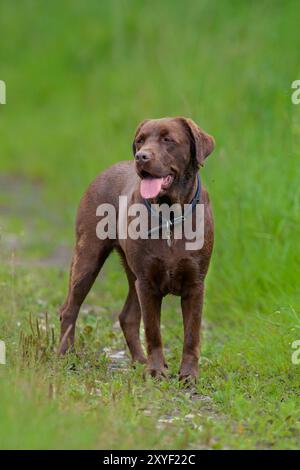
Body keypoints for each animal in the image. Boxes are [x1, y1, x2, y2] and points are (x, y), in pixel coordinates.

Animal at [58, 117, 214, 382]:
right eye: (140, 140)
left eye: (168, 139)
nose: (141, 156)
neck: (170, 215)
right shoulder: (147, 283)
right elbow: (153, 331)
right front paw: (156, 370)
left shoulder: (195, 284)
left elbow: (192, 335)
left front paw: (189, 375)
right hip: (88, 257)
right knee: (69, 308)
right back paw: (65, 355)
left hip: (131, 274)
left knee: (128, 317)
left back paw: (139, 361)